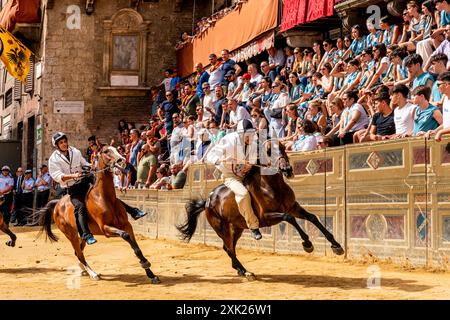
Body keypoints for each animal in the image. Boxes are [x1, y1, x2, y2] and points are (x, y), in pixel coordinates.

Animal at [37, 145, 160, 282]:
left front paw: (151, 274)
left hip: (82, 234)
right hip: (71, 235)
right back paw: (93, 273)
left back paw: (84, 269)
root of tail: (58, 204)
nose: (121, 160)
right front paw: (146, 265)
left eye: (117, 149)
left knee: (79, 251)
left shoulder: (127, 225)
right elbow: (125, 235)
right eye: (106, 151)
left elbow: (136, 248)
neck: (104, 198)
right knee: (79, 253)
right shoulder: (106, 229)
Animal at [178, 141, 342, 278]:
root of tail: (207, 201)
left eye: (283, 147)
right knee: (229, 248)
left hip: (237, 228)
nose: (287, 170)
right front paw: (307, 244)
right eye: (268, 151)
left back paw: (240, 270)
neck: (272, 186)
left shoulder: (293, 207)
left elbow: (312, 217)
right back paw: (245, 271)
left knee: (229, 247)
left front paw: (336, 245)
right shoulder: (267, 217)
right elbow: (289, 218)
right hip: (221, 228)